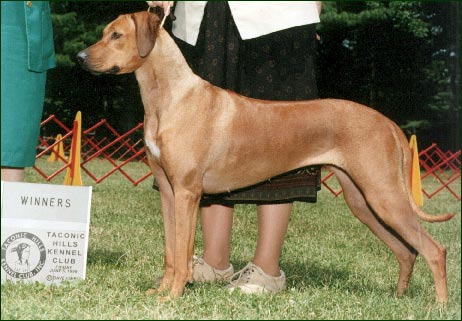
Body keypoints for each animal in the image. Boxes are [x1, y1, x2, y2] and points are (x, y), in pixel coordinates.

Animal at [76, 12, 454, 302]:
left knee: (434, 250)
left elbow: (181, 255)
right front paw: (162, 292)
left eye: (116, 35)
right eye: (103, 33)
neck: (170, 97)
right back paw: (399, 297)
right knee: (407, 250)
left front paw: (173, 296)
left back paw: (439, 305)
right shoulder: (169, 193)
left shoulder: (186, 193)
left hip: (383, 195)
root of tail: (389, 123)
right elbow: (171, 252)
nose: (79, 57)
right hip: (364, 201)